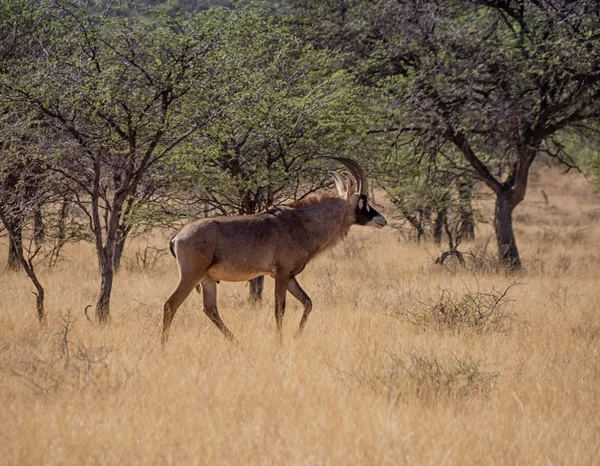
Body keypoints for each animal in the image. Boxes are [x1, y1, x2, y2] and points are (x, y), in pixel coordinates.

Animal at [161, 158, 384, 344]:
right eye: (363, 201)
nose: (382, 220)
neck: (300, 223)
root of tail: (177, 236)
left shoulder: (290, 276)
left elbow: (308, 302)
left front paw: (296, 336)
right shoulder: (281, 273)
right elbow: (280, 309)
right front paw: (280, 341)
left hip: (207, 279)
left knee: (210, 310)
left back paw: (238, 344)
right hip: (191, 276)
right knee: (171, 305)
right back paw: (164, 346)